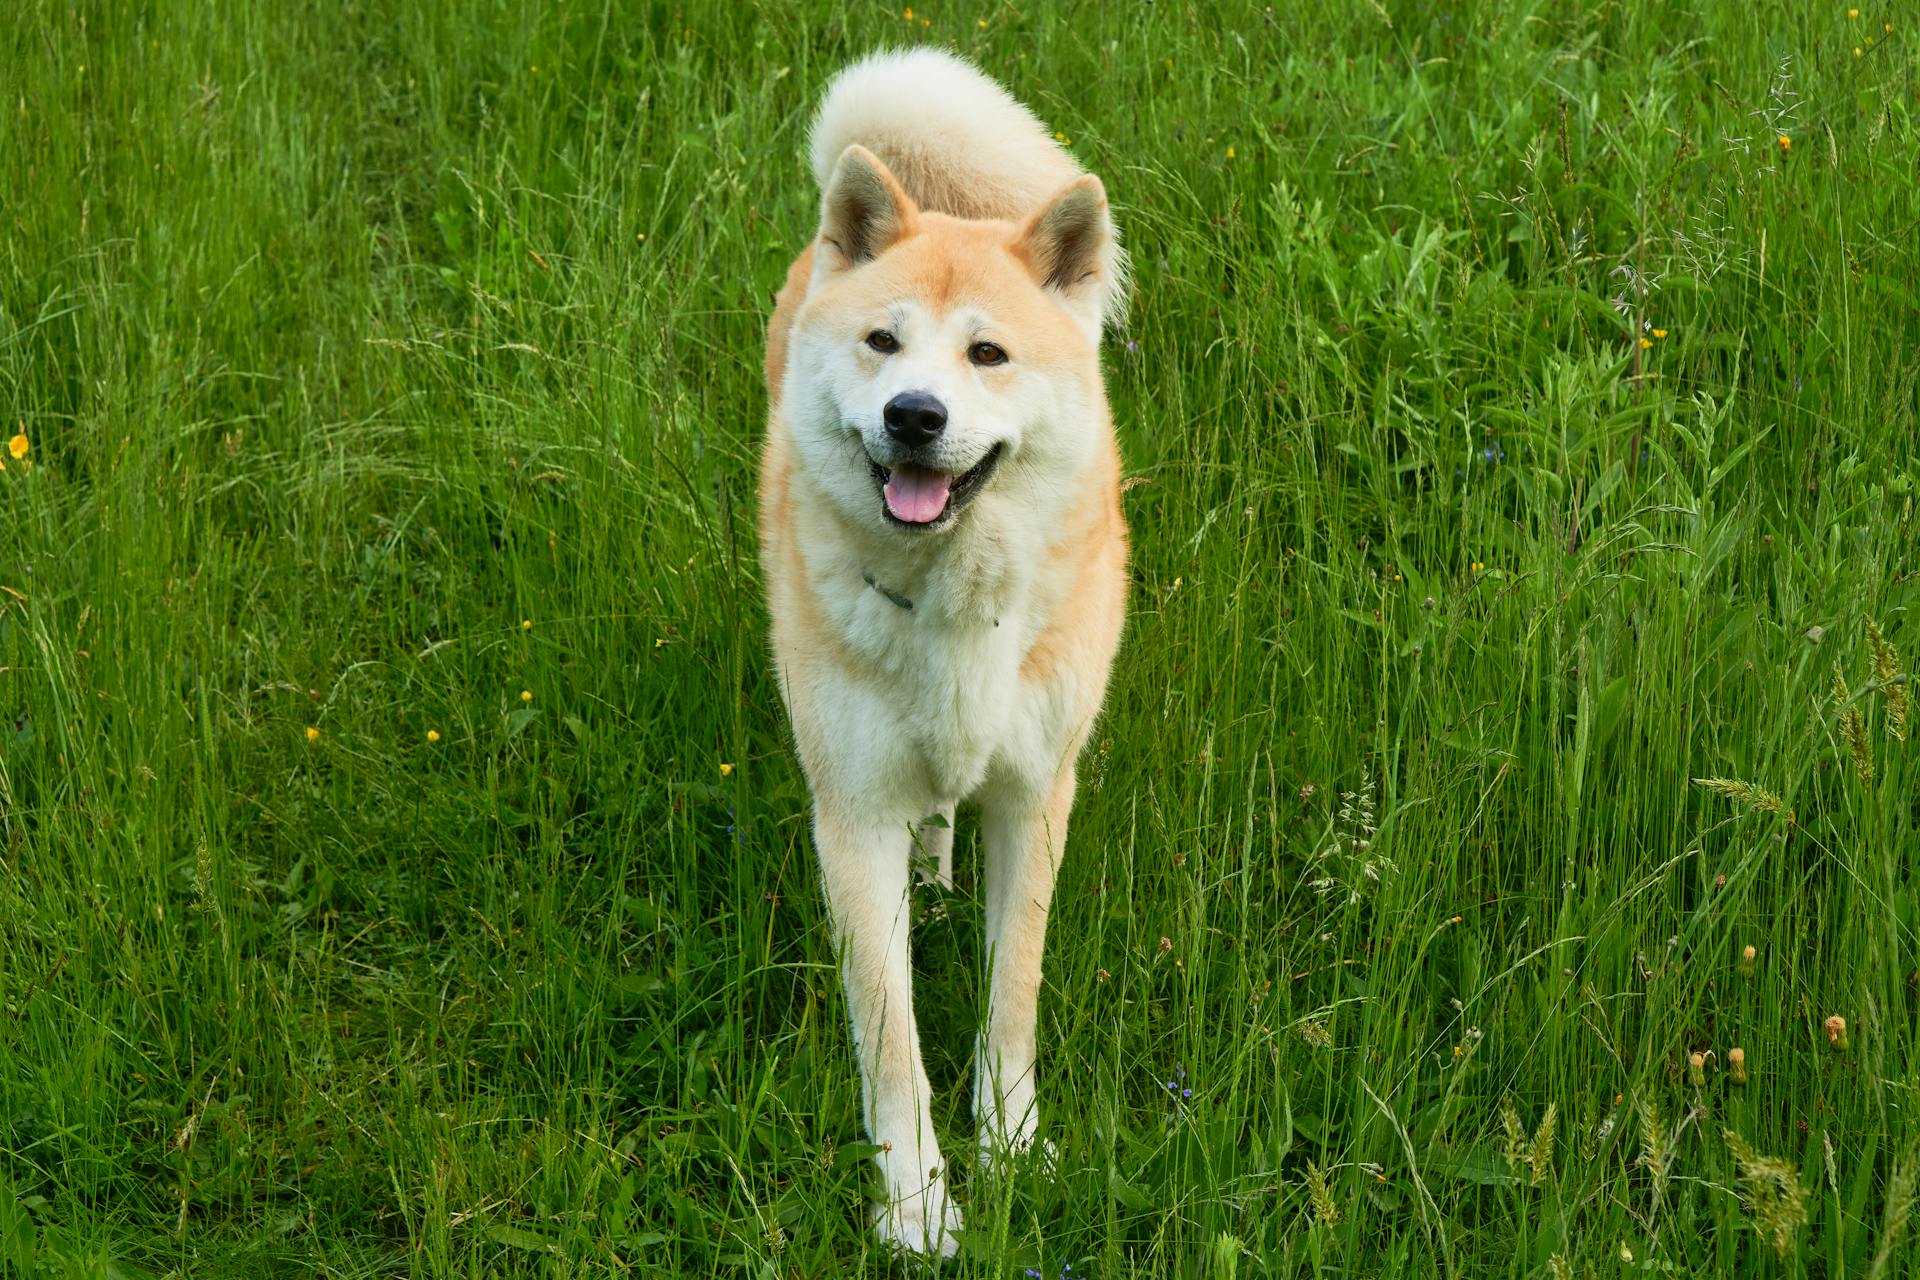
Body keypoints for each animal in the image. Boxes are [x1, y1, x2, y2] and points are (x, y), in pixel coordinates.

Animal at [756, 47, 1128, 1251]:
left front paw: (1010, 1146)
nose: (915, 414)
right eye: (884, 342)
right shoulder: (852, 815)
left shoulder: (1036, 793)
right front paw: (915, 1200)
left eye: (987, 353)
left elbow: (1013, 989)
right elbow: (890, 1029)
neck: (953, 603)